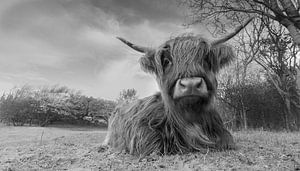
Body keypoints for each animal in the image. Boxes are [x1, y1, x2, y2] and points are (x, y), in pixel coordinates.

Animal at [103, 18, 253, 156]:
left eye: (205, 58)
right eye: (167, 61)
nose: (191, 84)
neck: (191, 116)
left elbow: (227, 141)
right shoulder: (142, 129)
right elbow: (151, 144)